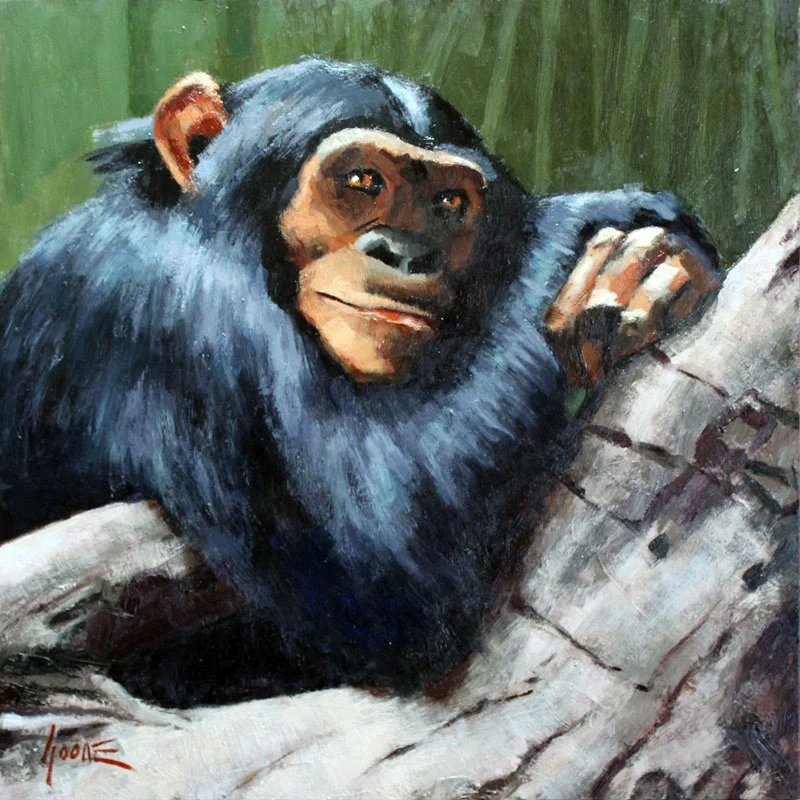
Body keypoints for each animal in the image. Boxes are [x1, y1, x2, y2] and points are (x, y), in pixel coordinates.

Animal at [0, 59, 719, 706]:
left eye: (448, 203)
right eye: (363, 180)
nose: (406, 252)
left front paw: (653, 269)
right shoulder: (176, 313)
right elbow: (381, 562)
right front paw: (585, 226)